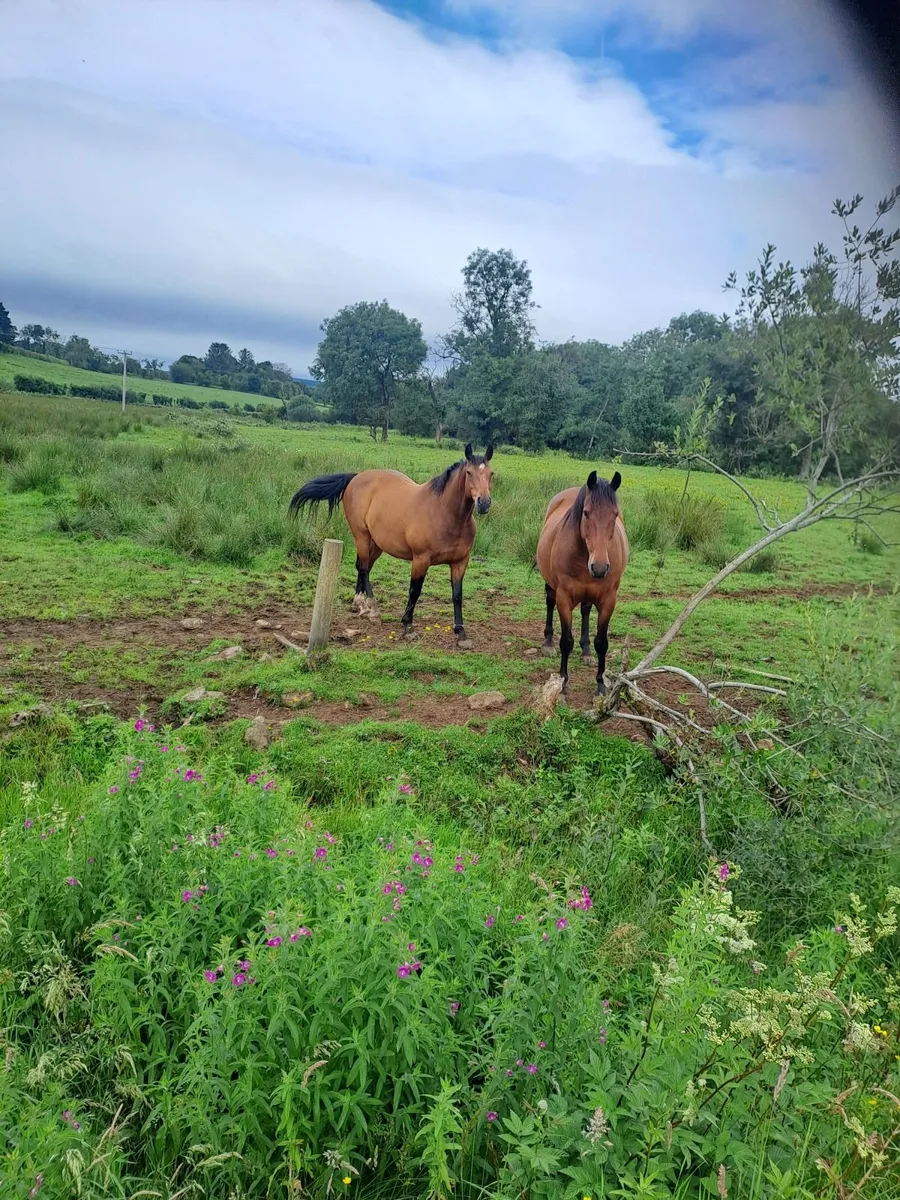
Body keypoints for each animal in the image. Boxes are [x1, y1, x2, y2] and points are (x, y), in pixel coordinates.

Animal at [289, 444, 494, 648]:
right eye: (469, 473)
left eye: (491, 473)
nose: (483, 503)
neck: (444, 513)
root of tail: (356, 477)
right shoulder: (421, 560)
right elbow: (414, 591)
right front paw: (408, 627)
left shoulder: (460, 562)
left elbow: (457, 595)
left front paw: (461, 633)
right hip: (361, 535)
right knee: (364, 568)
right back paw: (371, 608)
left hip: (377, 543)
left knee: (363, 567)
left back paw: (359, 604)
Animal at [536, 470, 628, 697]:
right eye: (586, 513)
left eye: (615, 514)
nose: (600, 567)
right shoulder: (564, 598)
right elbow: (566, 642)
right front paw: (563, 683)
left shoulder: (608, 600)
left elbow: (602, 643)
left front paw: (601, 685)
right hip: (551, 585)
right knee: (549, 602)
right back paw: (548, 643)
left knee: (586, 610)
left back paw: (586, 651)